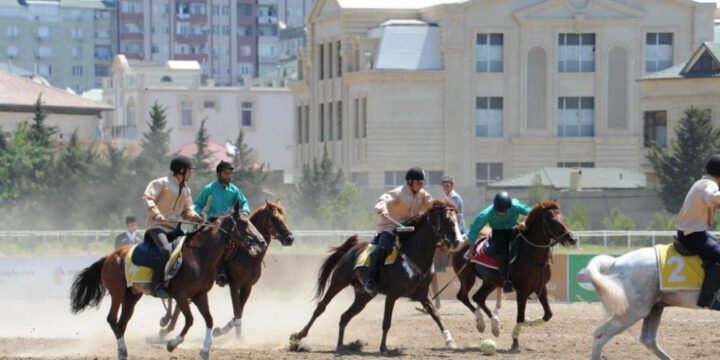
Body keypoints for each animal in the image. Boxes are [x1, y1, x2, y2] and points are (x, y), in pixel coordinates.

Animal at [67, 202, 262, 360]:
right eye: (244, 223)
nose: (260, 241)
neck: (199, 255)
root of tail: (109, 256)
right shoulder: (180, 295)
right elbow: (190, 320)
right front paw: (172, 344)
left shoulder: (199, 295)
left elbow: (209, 320)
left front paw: (205, 350)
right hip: (117, 292)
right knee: (112, 319)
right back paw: (122, 350)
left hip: (132, 296)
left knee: (121, 323)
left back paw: (123, 352)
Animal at [158, 200, 296, 340]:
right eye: (274, 218)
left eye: (284, 217)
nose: (290, 238)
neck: (249, 255)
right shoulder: (234, 285)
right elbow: (237, 311)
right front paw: (232, 334)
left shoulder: (248, 287)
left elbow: (239, 312)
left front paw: (225, 332)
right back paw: (166, 325)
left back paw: (167, 327)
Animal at [290, 200, 464, 354]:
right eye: (447, 220)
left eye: (456, 219)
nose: (458, 242)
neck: (412, 255)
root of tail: (352, 248)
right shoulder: (392, 295)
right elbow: (386, 322)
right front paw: (383, 348)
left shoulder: (422, 295)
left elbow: (436, 315)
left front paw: (450, 341)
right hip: (338, 282)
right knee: (321, 307)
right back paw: (298, 336)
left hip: (363, 296)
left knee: (345, 317)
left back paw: (340, 346)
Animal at [452, 201, 576, 352]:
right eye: (552, 221)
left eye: (563, 218)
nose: (572, 239)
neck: (532, 254)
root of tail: (464, 243)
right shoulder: (522, 290)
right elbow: (520, 316)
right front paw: (515, 341)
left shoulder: (541, 288)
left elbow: (548, 314)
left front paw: (530, 322)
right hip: (467, 278)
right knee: (463, 296)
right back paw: (481, 323)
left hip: (490, 281)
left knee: (478, 297)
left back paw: (495, 326)